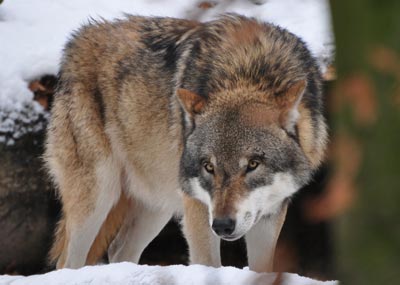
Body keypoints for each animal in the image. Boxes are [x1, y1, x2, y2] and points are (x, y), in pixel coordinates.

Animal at [45, 13, 328, 270]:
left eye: (253, 164)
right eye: (208, 167)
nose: (222, 225)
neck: (247, 69)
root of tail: (77, 40)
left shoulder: (271, 213)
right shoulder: (198, 208)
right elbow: (209, 265)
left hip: (158, 204)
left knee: (118, 250)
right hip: (99, 197)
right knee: (68, 262)